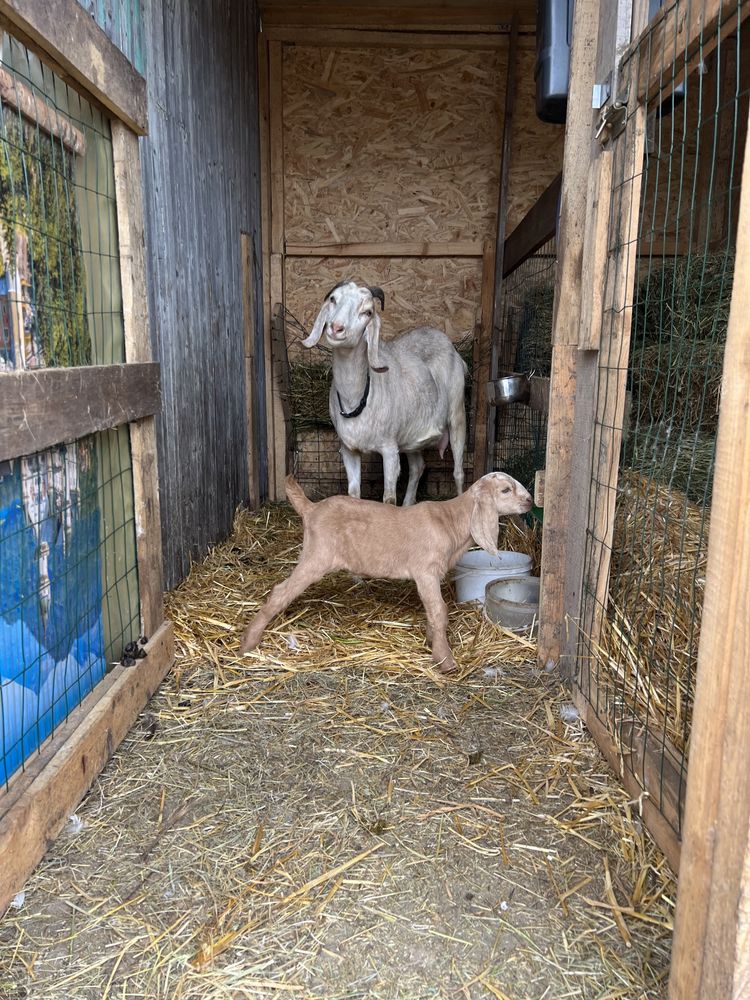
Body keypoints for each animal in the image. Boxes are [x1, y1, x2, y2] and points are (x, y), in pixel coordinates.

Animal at [302, 284, 468, 508]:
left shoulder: (389, 449)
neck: (357, 398)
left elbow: (388, 499)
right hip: (411, 435)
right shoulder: (349, 450)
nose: (336, 328)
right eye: (333, 299)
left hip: (457, 413)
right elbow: (353, 494)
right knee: (418, 467)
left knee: (458, 472)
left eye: (367, 312)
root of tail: (442, 337)